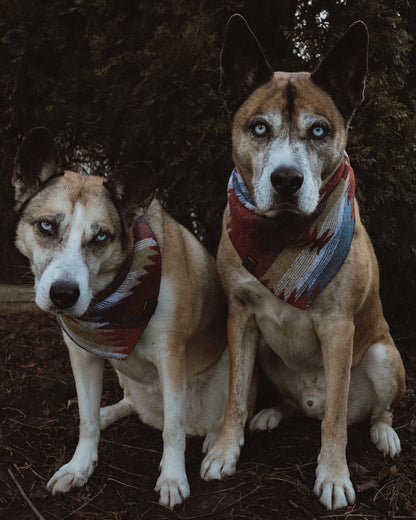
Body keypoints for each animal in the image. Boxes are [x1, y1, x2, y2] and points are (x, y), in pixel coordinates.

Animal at [13, 128, 229, 510]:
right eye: (46, 226)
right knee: (130, 403)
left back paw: (214, 440)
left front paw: (173, 478)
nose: (63, 294)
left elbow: (174, 427)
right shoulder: (81, 354)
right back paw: (109, 413)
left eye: (101, 236)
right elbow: (86, 420)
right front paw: (79, 466)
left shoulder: (170, 356)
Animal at [200, 14, 404, 510]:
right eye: (258, 128)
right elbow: (236, 393)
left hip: (383, 354)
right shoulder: (240, 316)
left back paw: (383, 434)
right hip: (267, 351)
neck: (283, 238)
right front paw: (225, 449)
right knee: (294, 403)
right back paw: (273, 413)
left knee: (368, 411)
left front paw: (332, 475)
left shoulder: (339, 327)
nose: (287, 179)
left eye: (318, 131)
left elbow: (335, 421)